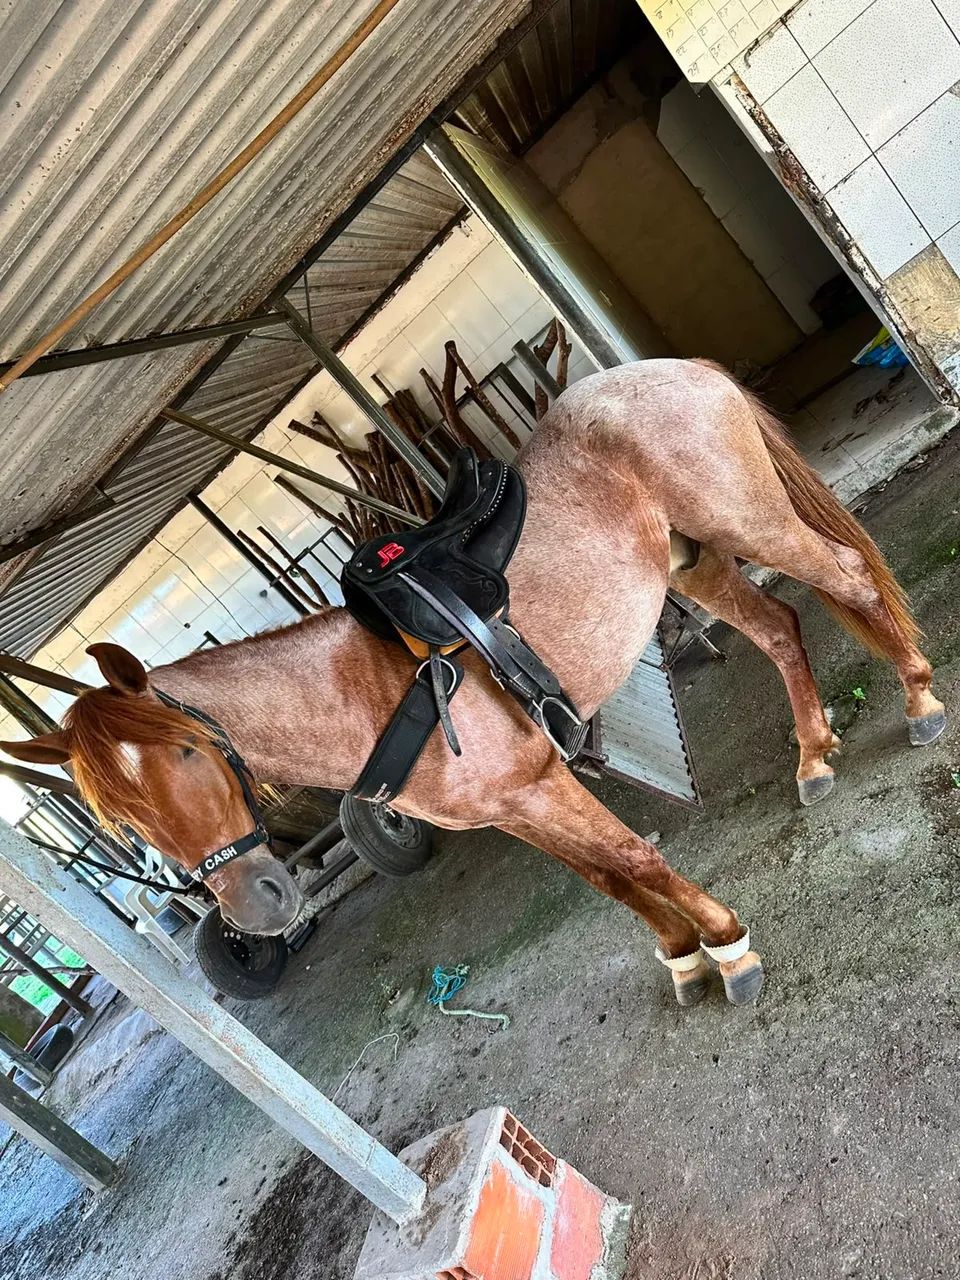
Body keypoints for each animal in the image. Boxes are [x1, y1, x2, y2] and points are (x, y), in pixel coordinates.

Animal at [2, 359, 945, 1006]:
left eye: (192, 754)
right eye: (123, 823)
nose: (259, 907)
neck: (366, 690)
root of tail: (674, 370)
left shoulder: (543, 781)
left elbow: (634, 856)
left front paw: (729, 947)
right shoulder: (516, 805)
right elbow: (610, 882)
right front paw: (683, 961)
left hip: (748, 522)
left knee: (850, 579)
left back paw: (921, 701)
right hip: (696, 559)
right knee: (780, 629)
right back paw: (813, 756)